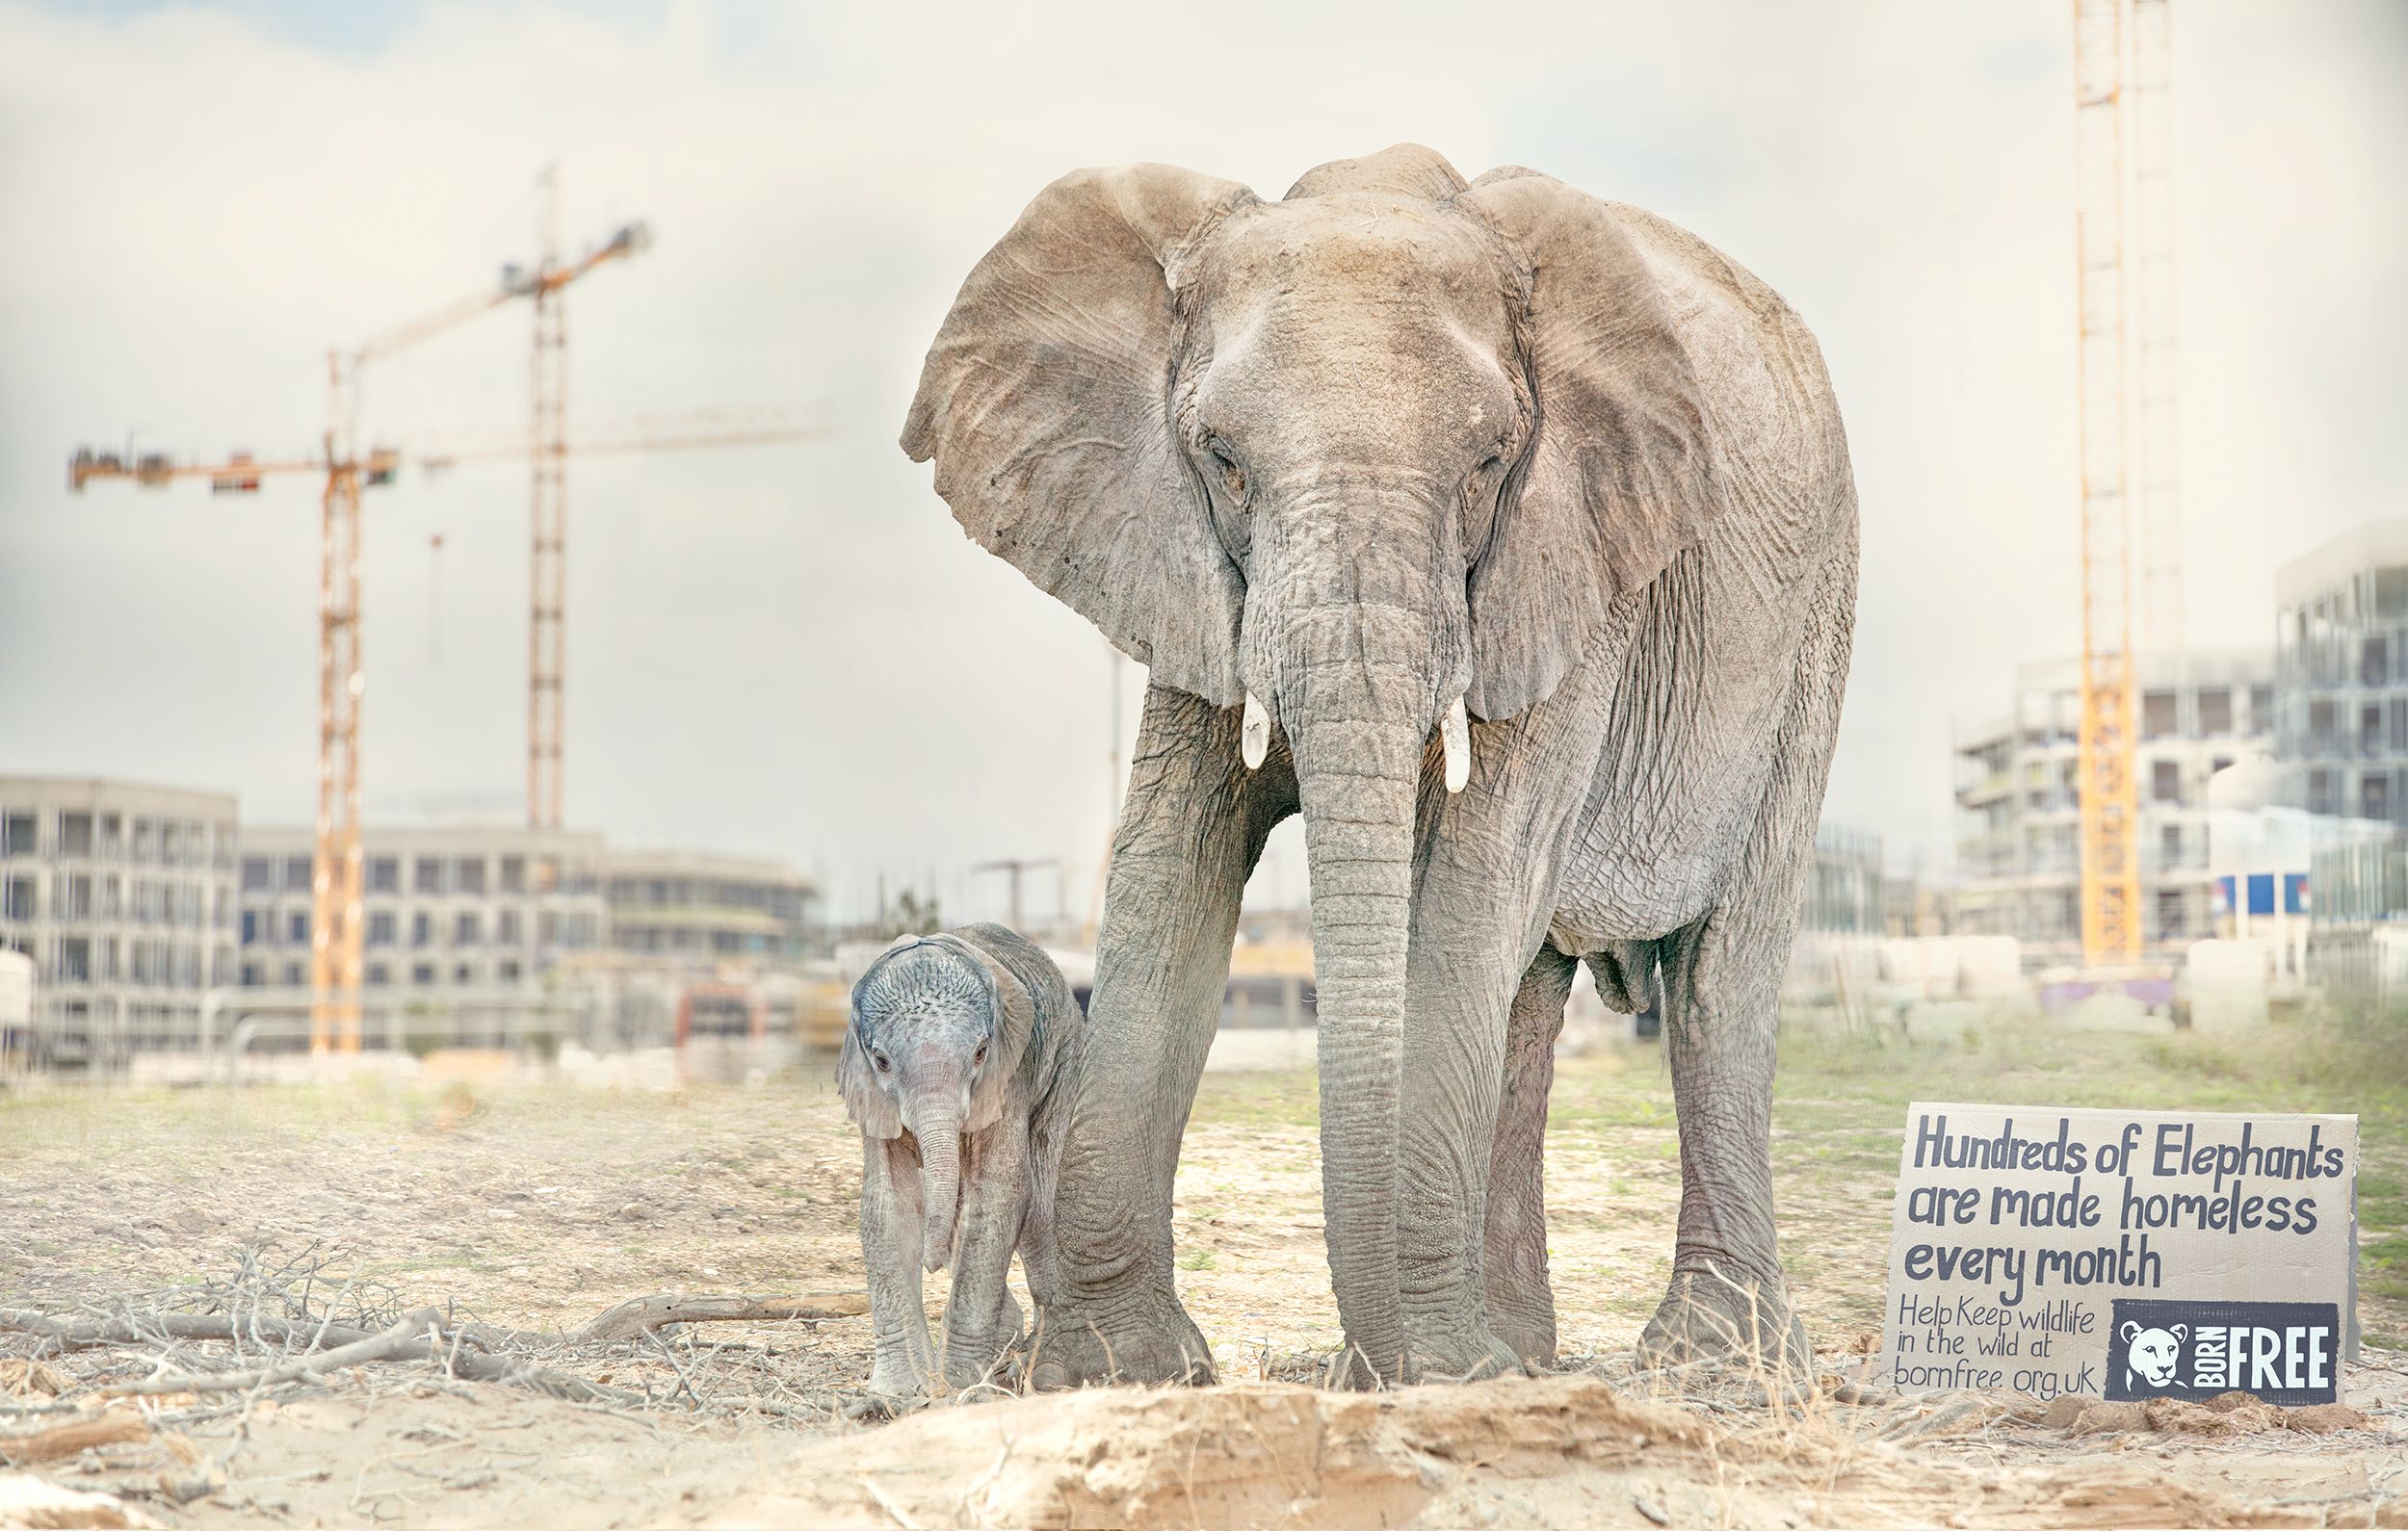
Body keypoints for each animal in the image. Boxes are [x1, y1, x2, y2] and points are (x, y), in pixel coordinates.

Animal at [839, 924, 1080, 1395]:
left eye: (982, 1053)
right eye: (881, 1061)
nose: (933, 1263)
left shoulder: (1010, 1074)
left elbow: (1001, 1192)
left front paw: (958, 1386)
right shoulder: (870, 1093)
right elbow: (887, 1205)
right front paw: (897, 1394)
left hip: (1066, 1063)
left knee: (1041, 1208)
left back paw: (1037, 1366)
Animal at [901, 143, 1856, 1388]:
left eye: (1491, 461)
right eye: (1221, 461)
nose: (1382, 1363)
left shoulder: (1568, 559)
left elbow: (1476, 877)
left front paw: (1442, 1374)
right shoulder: (1180, 564)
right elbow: (1168, 866)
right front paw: (1119, 1370)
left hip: (1812, 627)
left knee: (1714, 980)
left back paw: (1710, 1362)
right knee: (1529, 997)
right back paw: (1526, 1353)